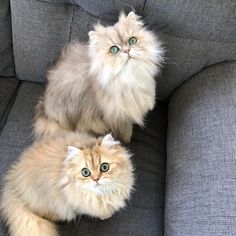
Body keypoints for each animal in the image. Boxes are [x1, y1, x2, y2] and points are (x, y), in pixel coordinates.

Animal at [1, 134, 135, 235]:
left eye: (104, 167)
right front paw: (105, 215)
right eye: (85, 172)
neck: (102, 194)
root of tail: (12, 181)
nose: (96, 179)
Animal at [34, 11, 164, 142]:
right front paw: (127, 138)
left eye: (132, 41)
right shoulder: (117, 115)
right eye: (114, 49)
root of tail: (45, 108)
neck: (129, 78)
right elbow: (125, 128)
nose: (127, 50)